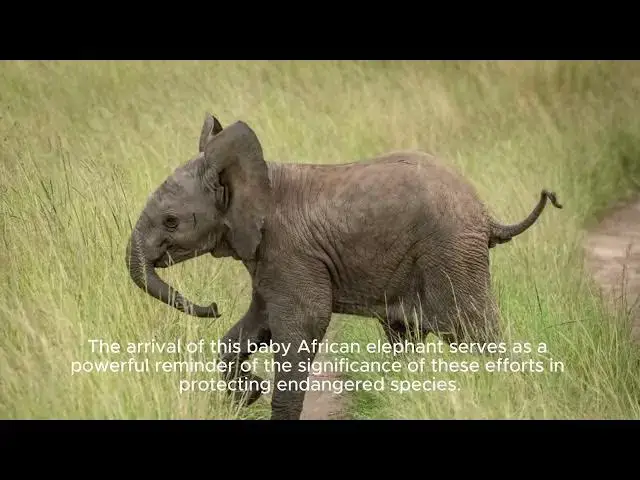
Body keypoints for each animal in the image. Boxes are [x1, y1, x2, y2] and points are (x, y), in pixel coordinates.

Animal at [125, 113, 563, 420]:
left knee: (473, 332)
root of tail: (486, 213)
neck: (258, 174)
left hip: (452, 251)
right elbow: (254, 325)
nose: (213, 307)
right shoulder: (269, 258)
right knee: (406, 335)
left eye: (171, 222)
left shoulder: (289, 252)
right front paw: (247, 391)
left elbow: (303, 324)